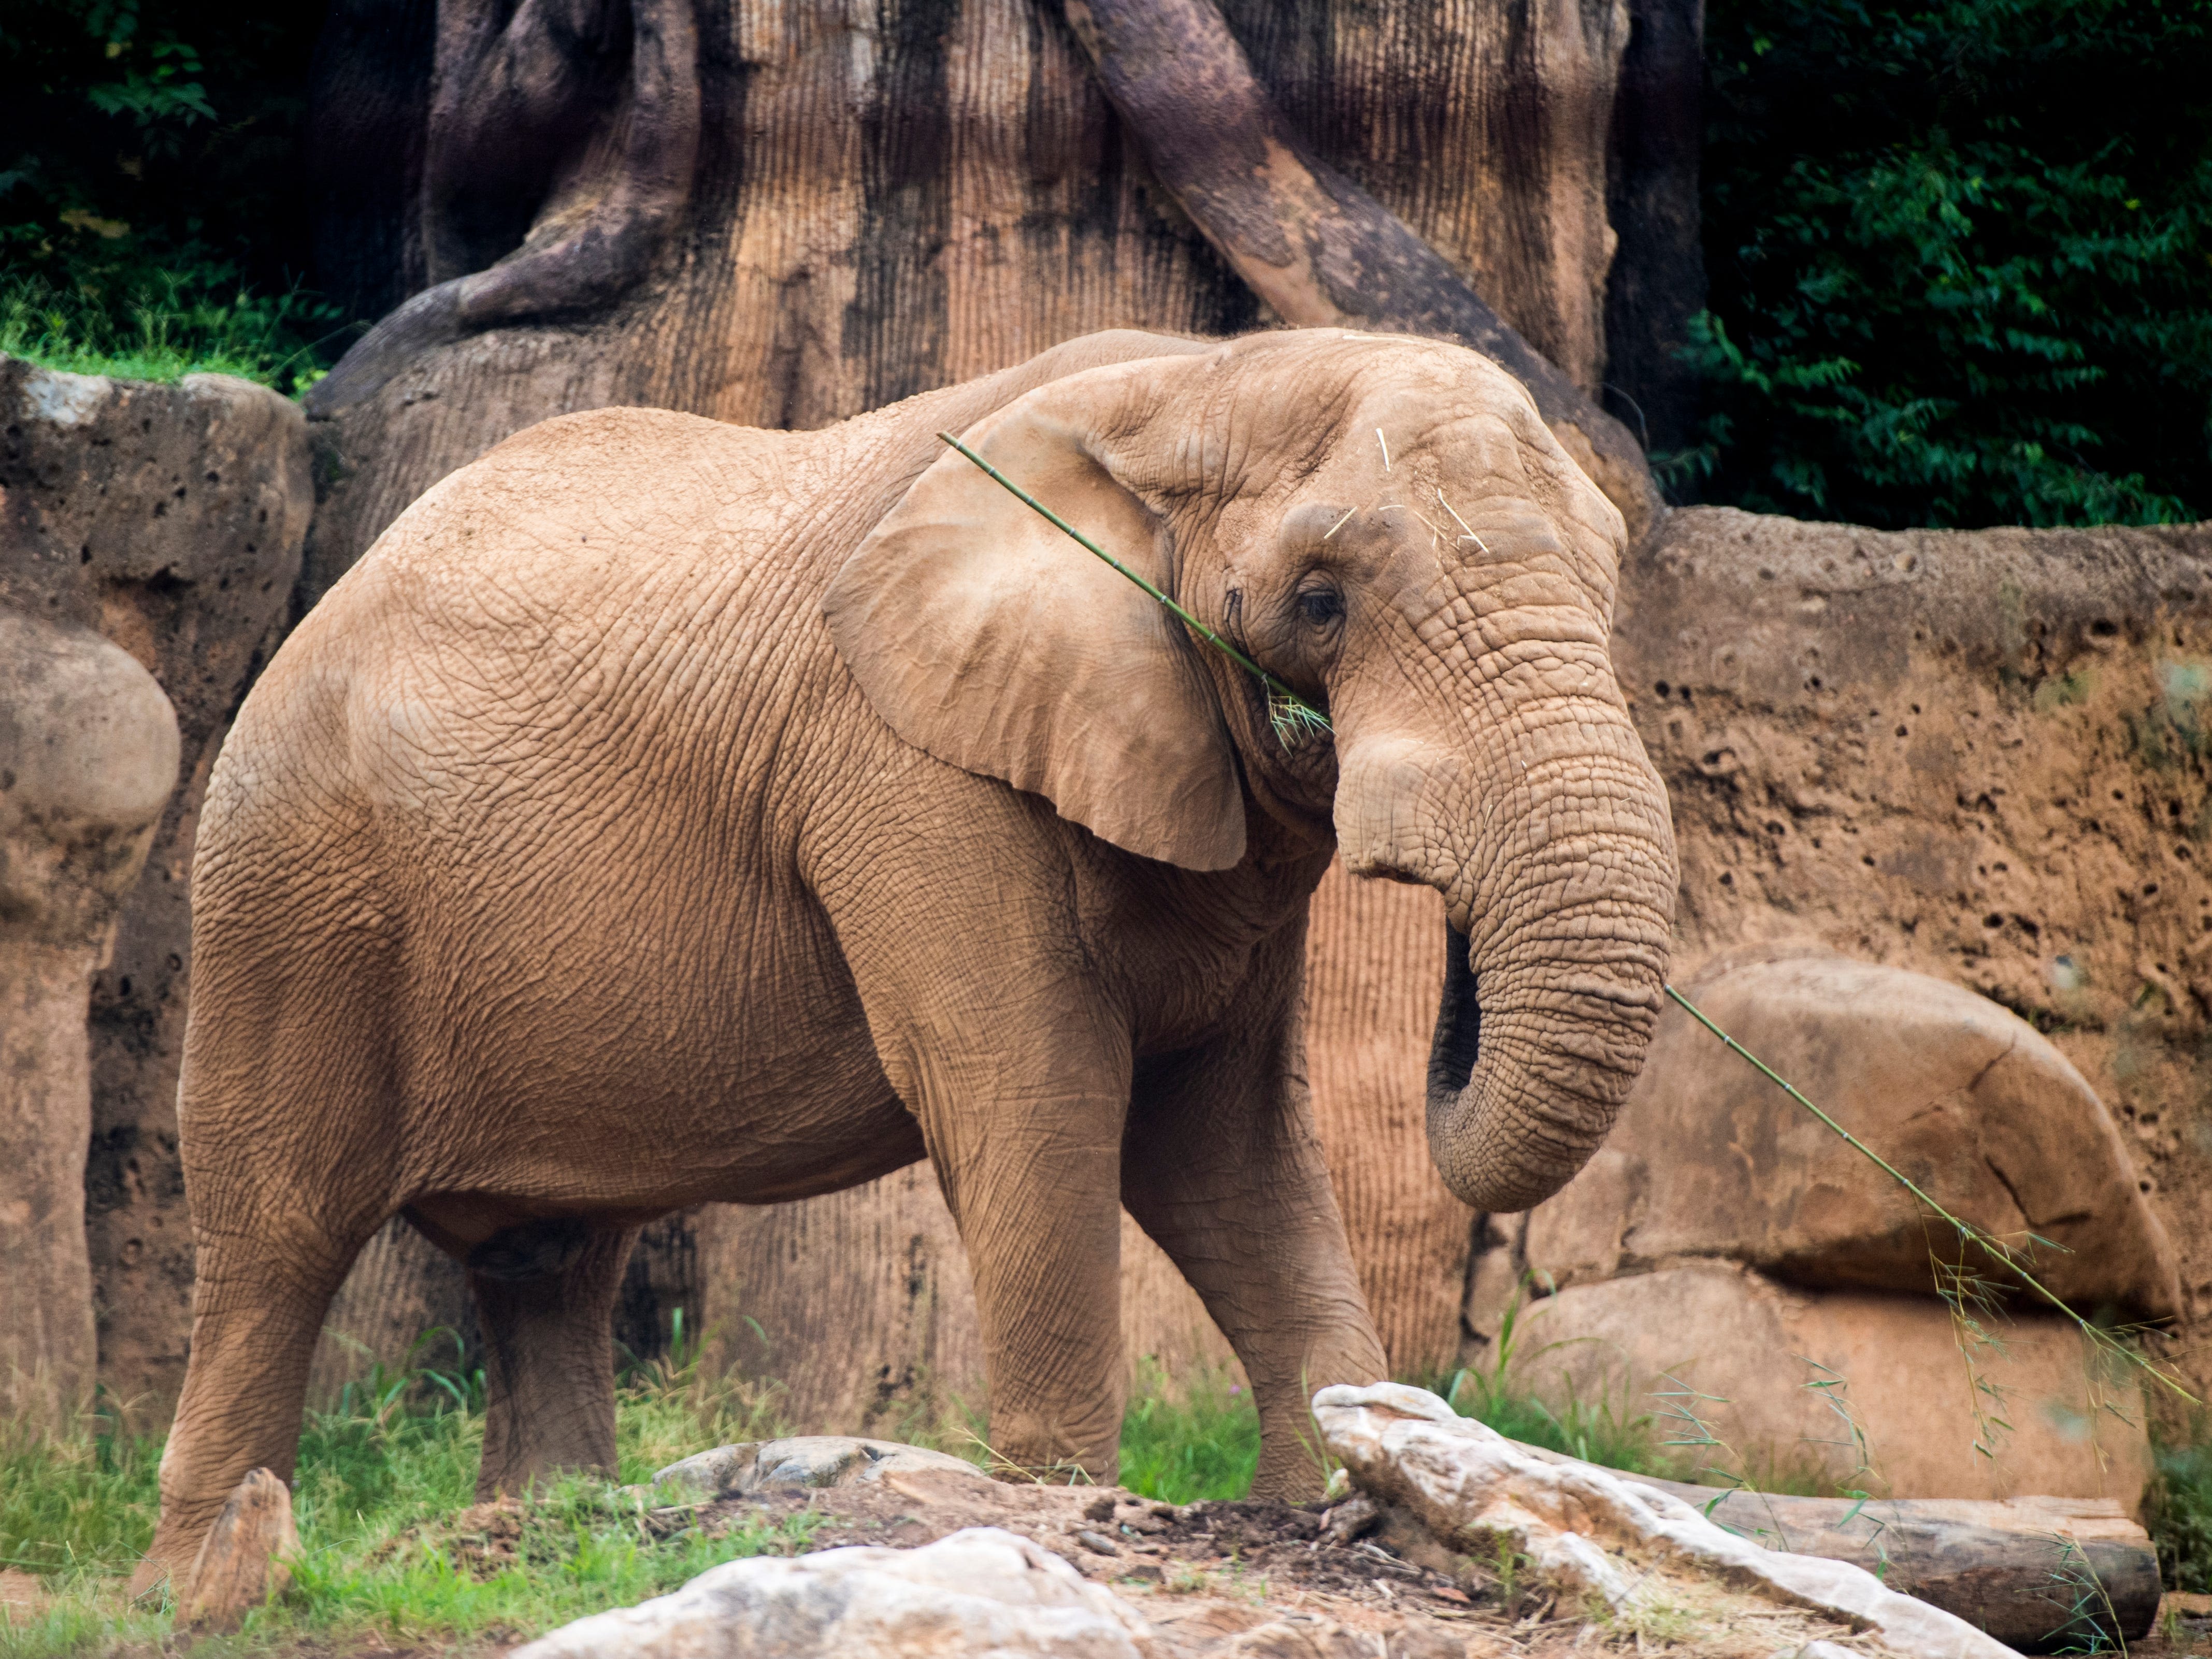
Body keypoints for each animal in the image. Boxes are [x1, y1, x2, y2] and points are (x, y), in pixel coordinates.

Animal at [138, 325, 1672, 1583]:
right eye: (1320, 599)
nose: (1453, 972)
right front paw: (1061, 1517)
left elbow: (1221, 1141)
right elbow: (1041, 1098)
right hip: (292, 893)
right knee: (277, 1232)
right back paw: (206, 1581)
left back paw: (556, 1538)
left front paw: (1337, 1502)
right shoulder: (906, 768)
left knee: (548, 1256)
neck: (1203, 379)